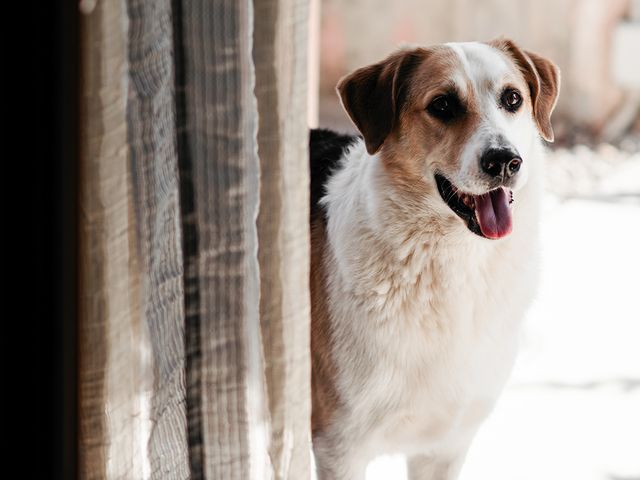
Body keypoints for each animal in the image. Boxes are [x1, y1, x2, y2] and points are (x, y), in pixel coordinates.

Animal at [310, 40, 560, 480]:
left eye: (512, 99)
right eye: (443, 105)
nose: (504, 161)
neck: (451, 264)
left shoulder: (445, 446)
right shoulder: (339, 446)